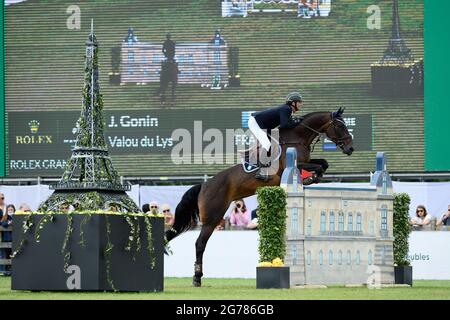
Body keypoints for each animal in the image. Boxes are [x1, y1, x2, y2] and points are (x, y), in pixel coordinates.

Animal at [165, 107, 356, 284]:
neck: (298, 137)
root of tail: (204, 185)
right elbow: (318, 166)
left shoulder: (306, 161)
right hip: (213, 217)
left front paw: (313, 178)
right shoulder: (294, 164)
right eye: (340, 126)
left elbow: (323, 163)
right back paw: (197, 277)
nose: (350, 148)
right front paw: (312, 178)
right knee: (200, 243)